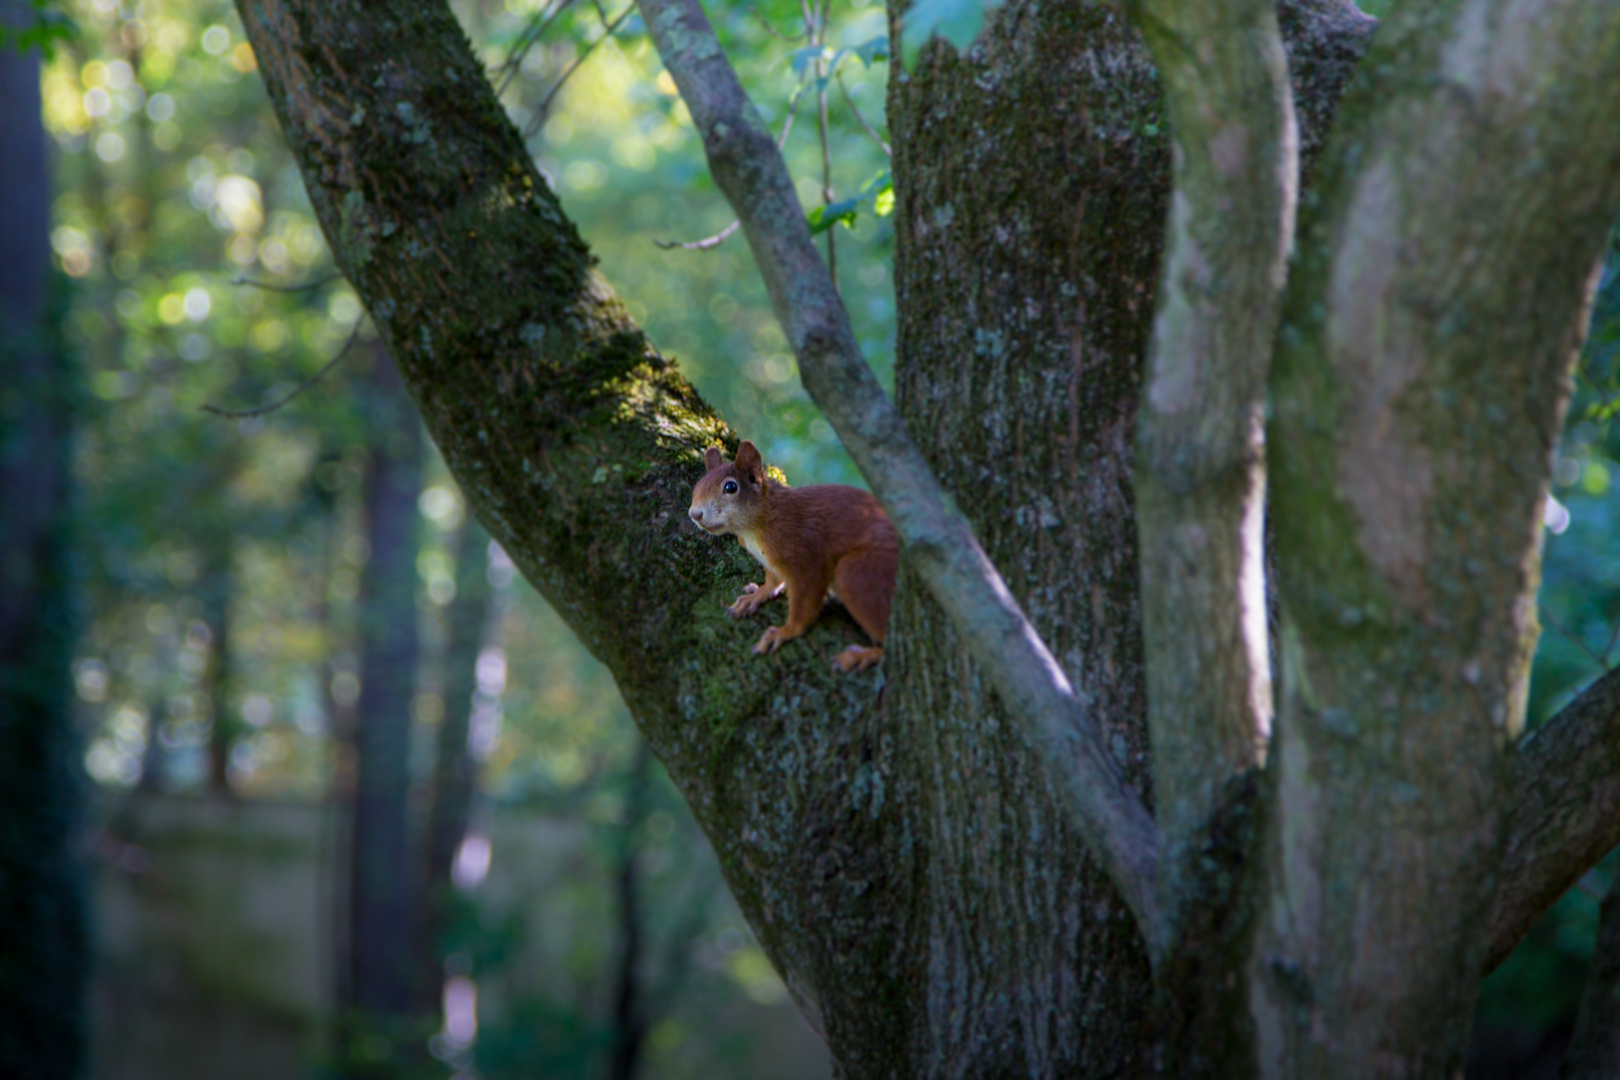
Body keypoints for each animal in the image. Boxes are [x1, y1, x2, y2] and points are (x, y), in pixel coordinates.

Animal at [690, 443, 907, 670]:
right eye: (697, 486)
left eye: (731, 487)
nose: (694, 514)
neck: (755, 525)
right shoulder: (769, 560)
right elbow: (773, 580)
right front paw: (757, 595)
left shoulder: (804, 556)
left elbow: (805, 601)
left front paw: (785, 631)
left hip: (860, 575)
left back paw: (861, 656)